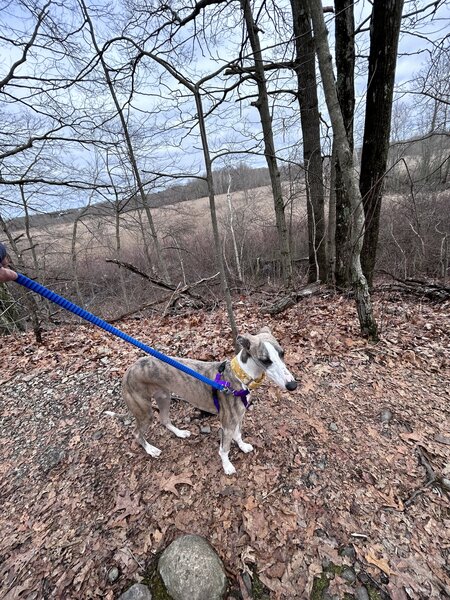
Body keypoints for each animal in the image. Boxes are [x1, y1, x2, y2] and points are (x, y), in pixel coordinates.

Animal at [123, 326, 298, 476]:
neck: (240, 376)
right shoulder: (227, 423)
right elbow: (224, 449)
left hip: (164, 397)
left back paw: (180, 433)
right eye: (265, 360)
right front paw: (227, 466)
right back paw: (150, 449)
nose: (293, 385)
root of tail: (128, 370)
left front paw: (242, 446)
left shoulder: (238, 417)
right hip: (145, 412)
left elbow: (238, 434)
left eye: (282, 353)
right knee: (137, 433)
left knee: (164, 420)